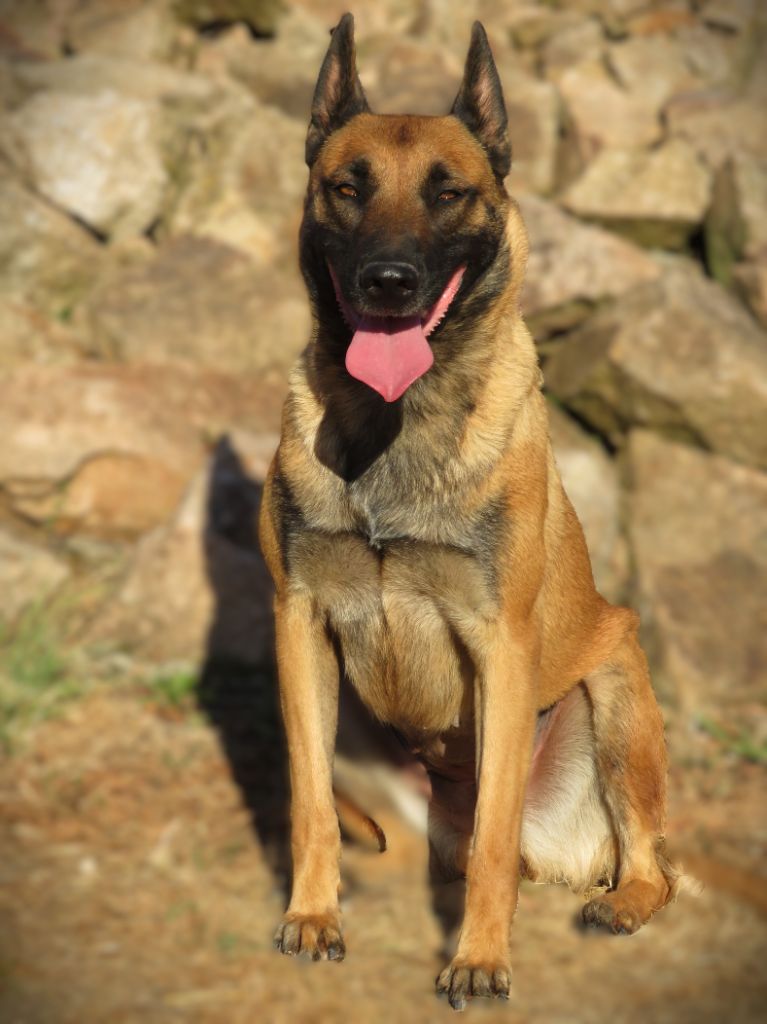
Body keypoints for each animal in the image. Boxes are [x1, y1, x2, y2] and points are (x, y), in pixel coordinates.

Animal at [260, 14, 679, 1007]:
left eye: (448, 193)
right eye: (346, 187)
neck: (392, 425)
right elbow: (307, 802)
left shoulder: (501, 645)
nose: (387, 282)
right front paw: (313, 914)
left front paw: (479, 959)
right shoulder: (297, 623)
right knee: (378, 827)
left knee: (631, 860)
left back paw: (618, 904)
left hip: (614, 693)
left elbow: (492, 835)